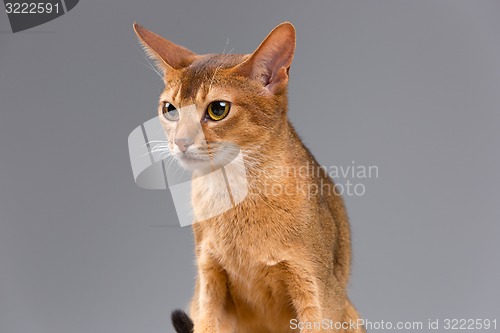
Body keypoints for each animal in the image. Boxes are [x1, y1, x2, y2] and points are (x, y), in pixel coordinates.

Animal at [135, 22, 366, 330]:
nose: (180, 141)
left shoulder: (317, 291)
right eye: (170, 110)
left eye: (217, 109)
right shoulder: (208, 282)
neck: (234, 194)